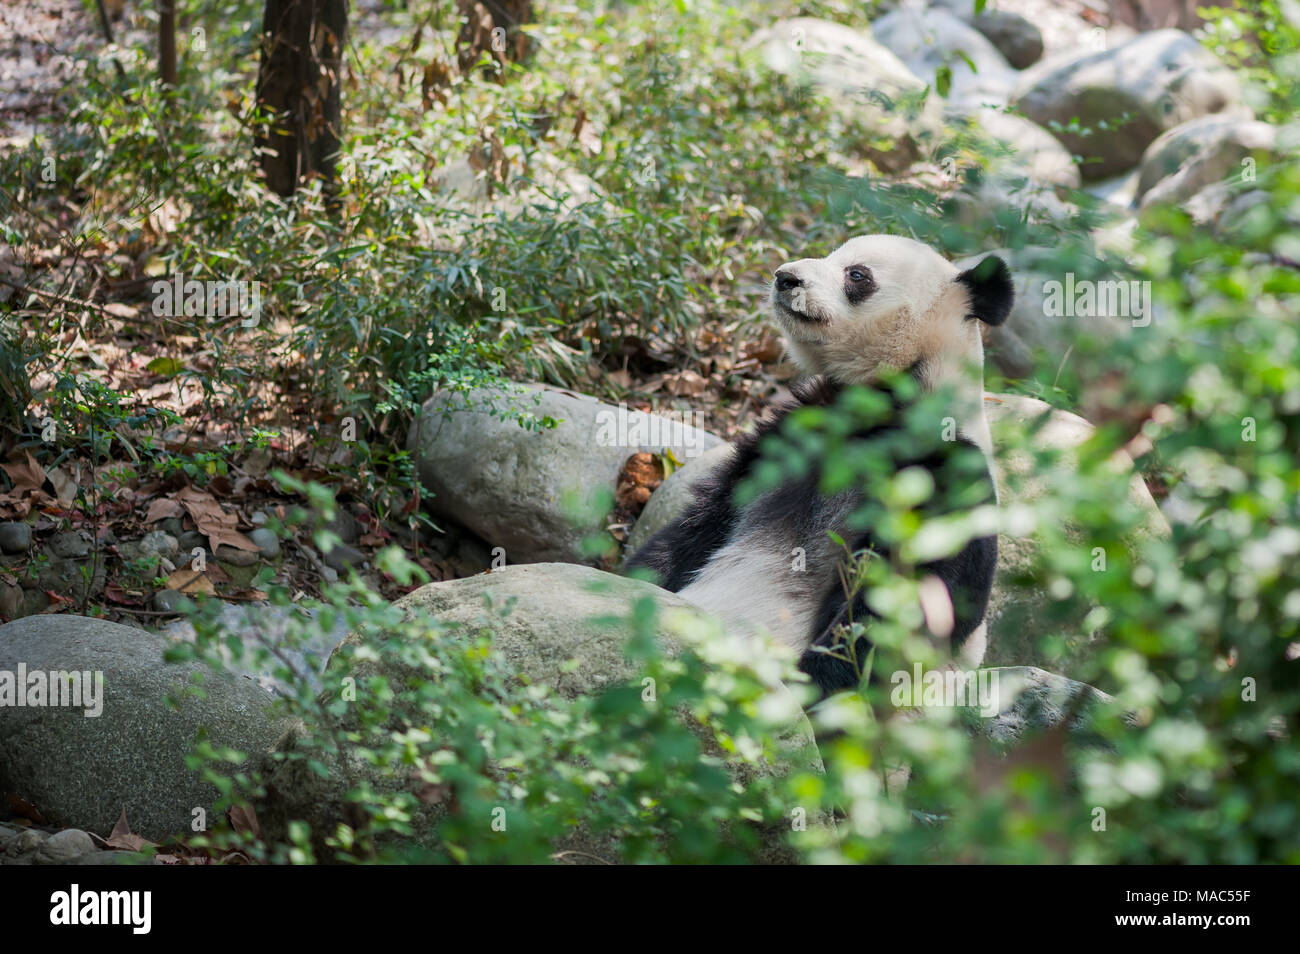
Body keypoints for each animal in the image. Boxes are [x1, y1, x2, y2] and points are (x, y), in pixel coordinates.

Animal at [624, 235, 1008, 696]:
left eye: (857, 274)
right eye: (831, 254)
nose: (785, 277)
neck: (882, 398)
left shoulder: (944, 471)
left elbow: (907, 607)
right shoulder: (793, 434)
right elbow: (700, 524)